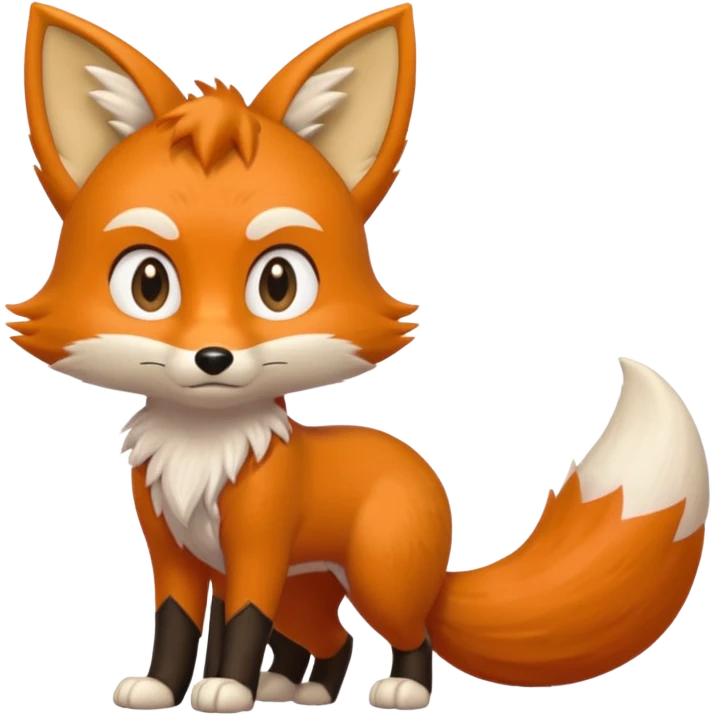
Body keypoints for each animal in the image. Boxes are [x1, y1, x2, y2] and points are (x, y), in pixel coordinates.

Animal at [10, 2, 711, 713]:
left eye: (279, 284)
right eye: (148, 283)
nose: (214, 357)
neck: (202, 453)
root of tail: (422, 473)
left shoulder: (257, 551)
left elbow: (240, 624)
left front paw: (227, 687)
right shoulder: (176, 554)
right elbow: (178, 625)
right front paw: (163, 686)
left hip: (378, 580)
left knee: (408, 633)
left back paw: (399, 687)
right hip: (309, 593)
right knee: (334, 639)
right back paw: (299, 687)